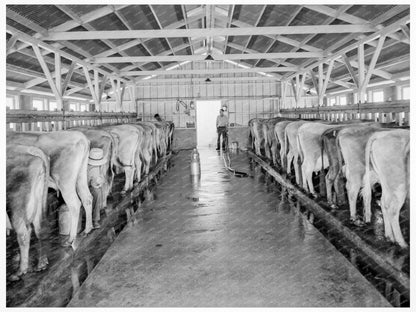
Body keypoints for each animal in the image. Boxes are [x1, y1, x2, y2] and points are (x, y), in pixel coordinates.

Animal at [6, 145, 49, 282]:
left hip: (15, 206)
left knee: (24, 235)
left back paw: (20, 271)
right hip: (38, 201)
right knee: (38, 229)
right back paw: (41, 263)